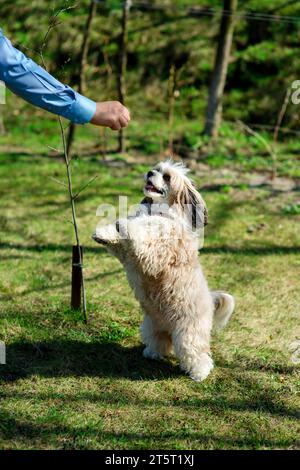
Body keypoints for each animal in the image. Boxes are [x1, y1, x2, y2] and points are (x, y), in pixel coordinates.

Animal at [93, 162, 234, 382]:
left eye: (166, 177)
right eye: (156, 168)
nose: (150, 172)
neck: (160, 213)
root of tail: (210, 302)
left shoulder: (156, 254)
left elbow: (139, 234)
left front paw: (126, 225)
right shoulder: (128, 256)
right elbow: (120, 241)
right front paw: (104, 232)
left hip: (188, 334)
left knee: (197, 354)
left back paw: (200, 373)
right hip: (151, 325)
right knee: (161, 342)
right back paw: (152, 353)